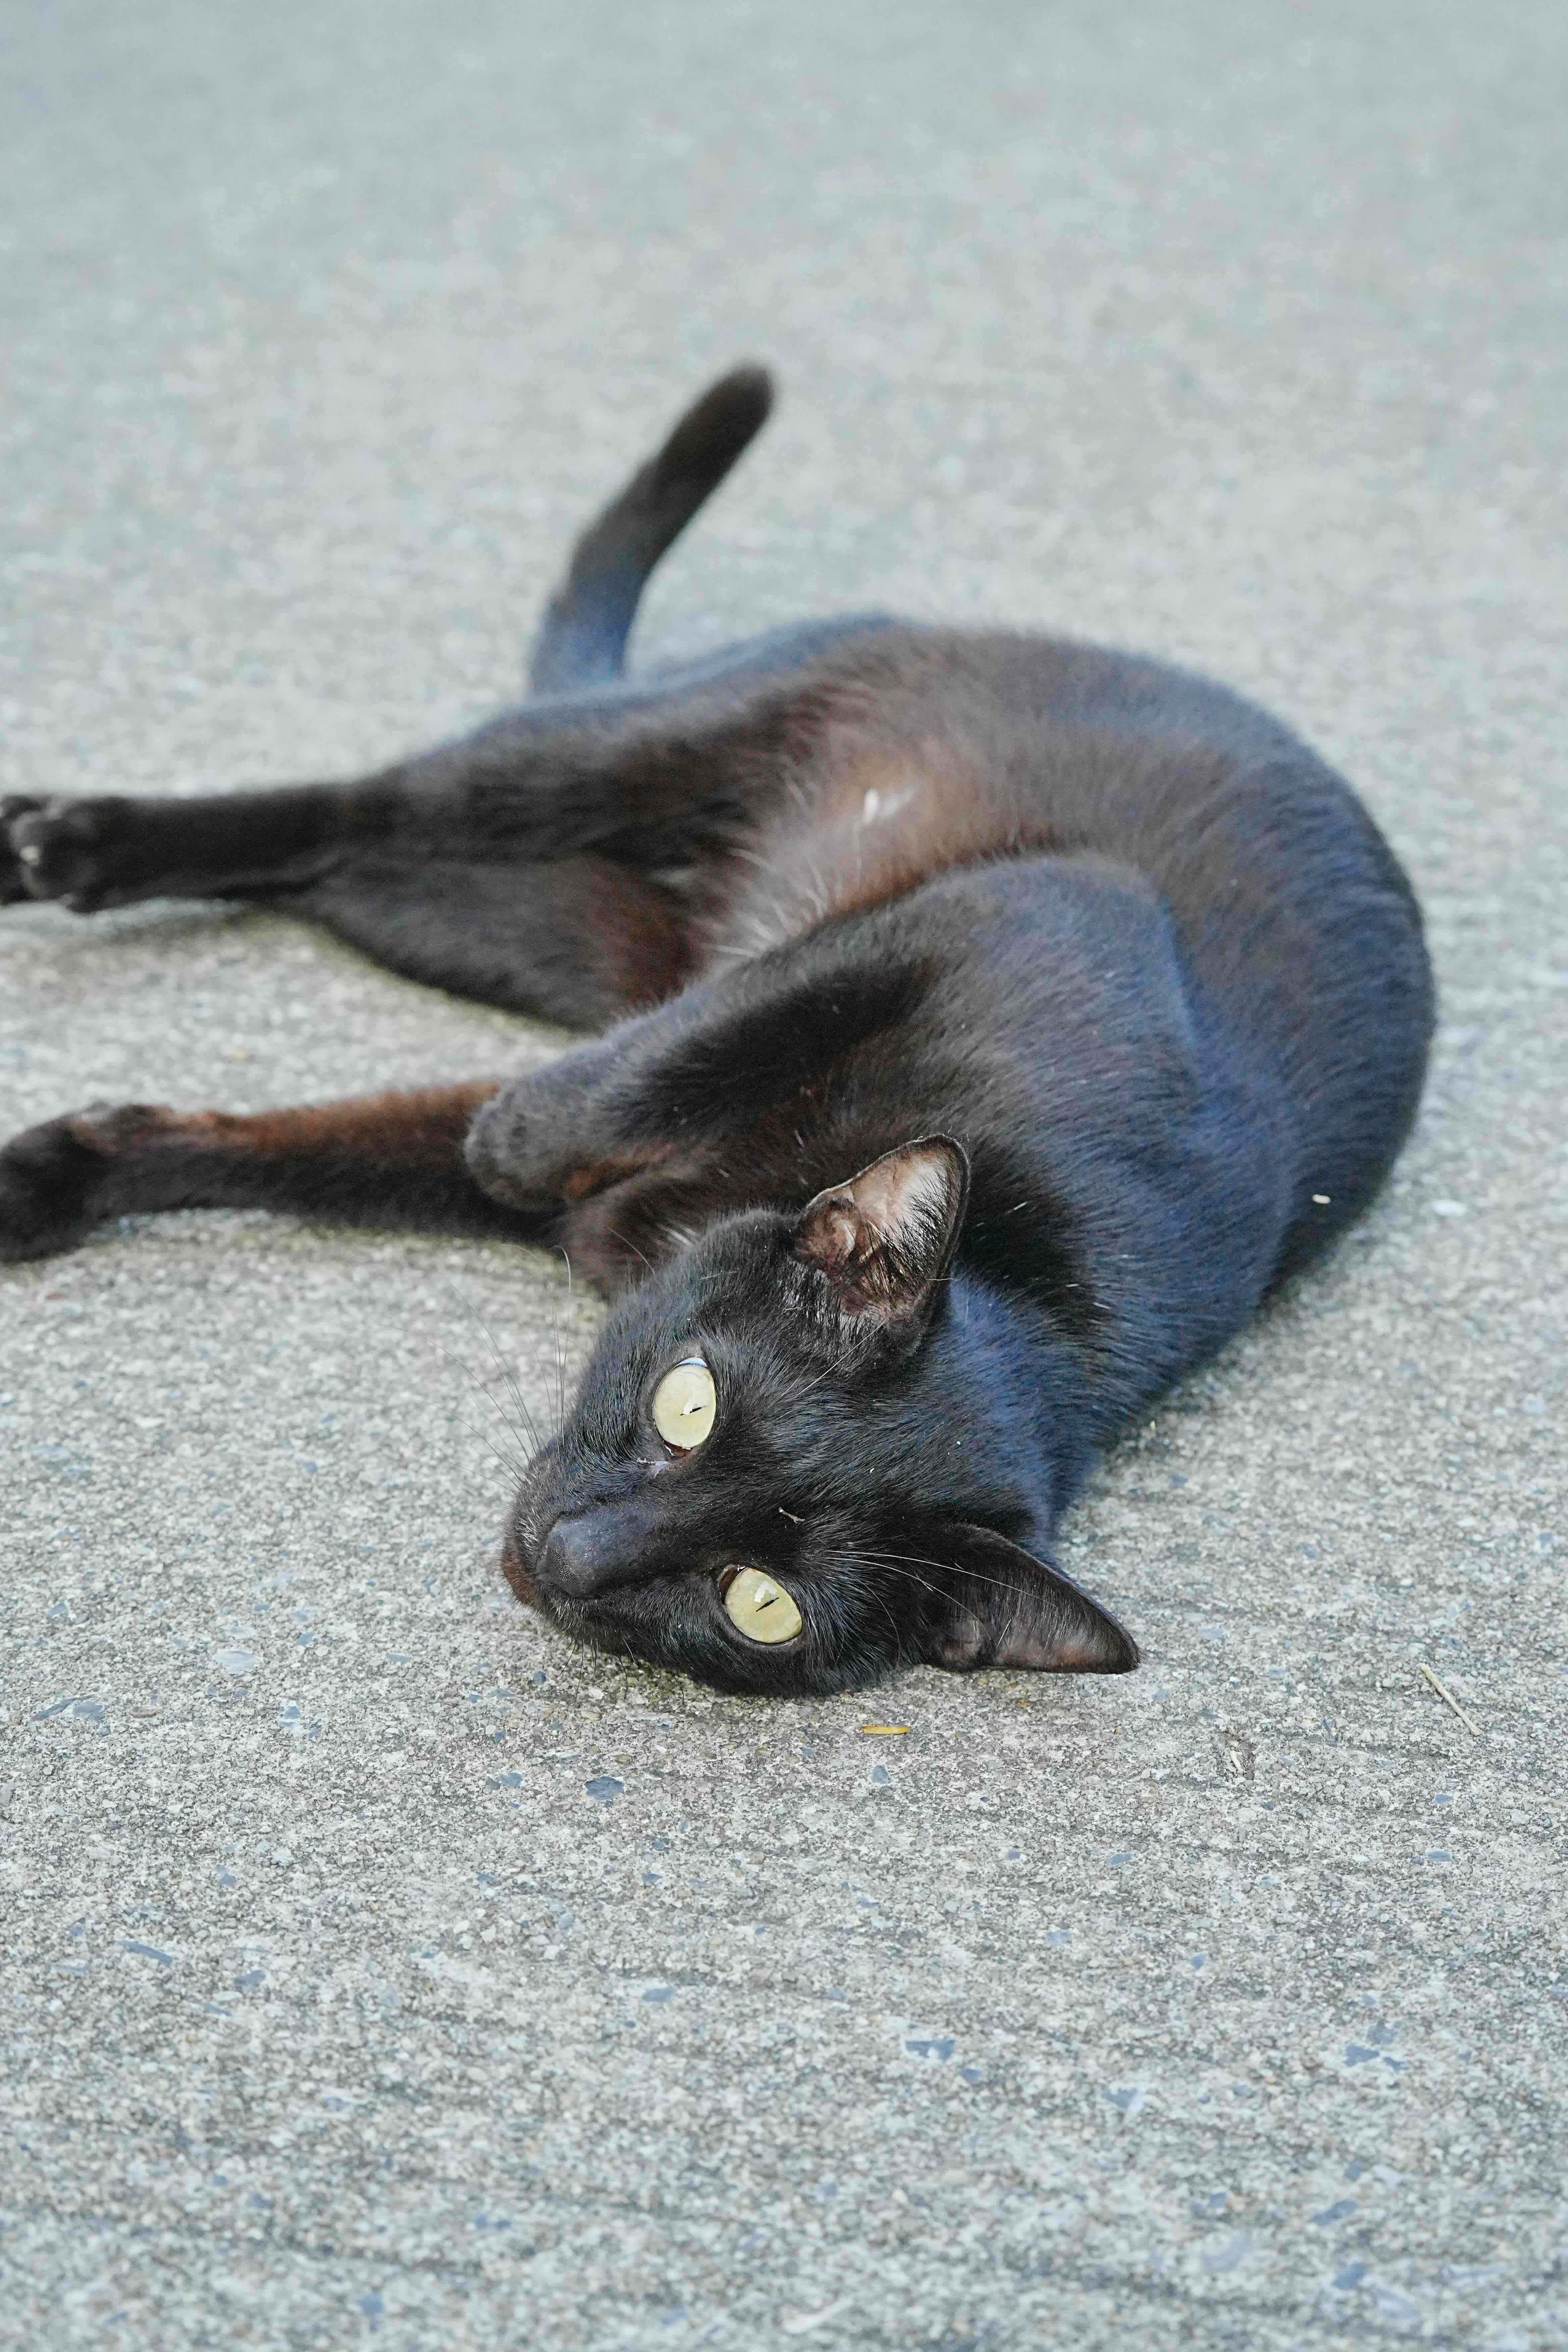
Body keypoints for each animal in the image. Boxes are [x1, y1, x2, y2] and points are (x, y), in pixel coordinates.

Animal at [0, 365, 1434, 1697]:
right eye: (686, 1405)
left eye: (760, 1601)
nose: (573, 1556)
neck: (1032, 1264)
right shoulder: (1043, 909)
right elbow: (666, 1057)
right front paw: (514, 1134)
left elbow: (310, 1152)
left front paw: (51, 1180)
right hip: (629, 759)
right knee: (365, 805)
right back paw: (64, 841)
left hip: (530, 922)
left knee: (339, 868)